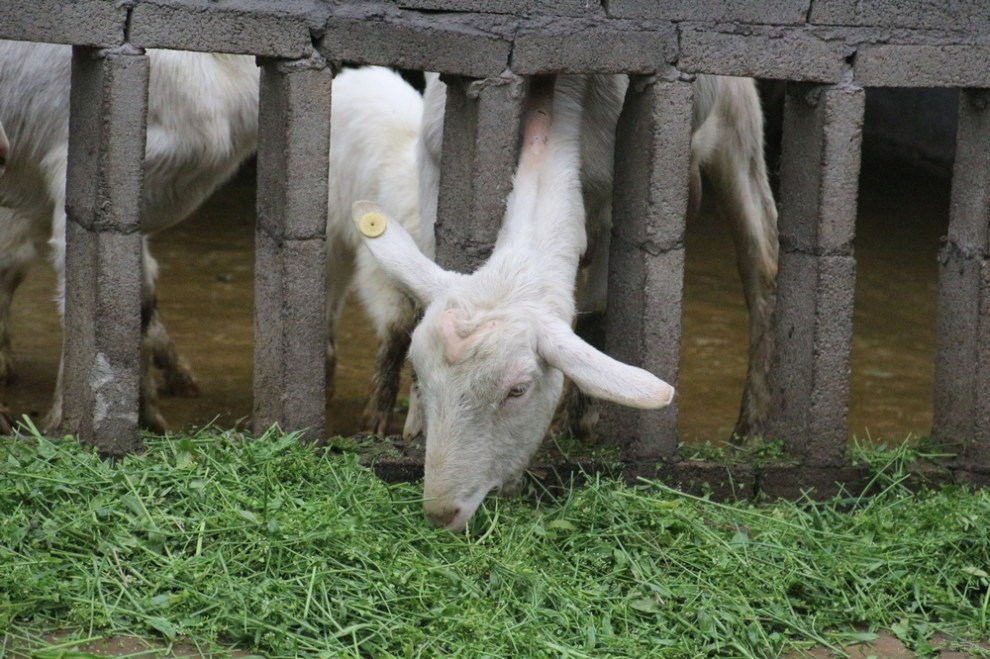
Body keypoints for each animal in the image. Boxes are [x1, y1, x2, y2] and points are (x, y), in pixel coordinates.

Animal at [356, 72, 784, 532]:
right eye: (419, 370)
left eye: (519, 390)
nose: (441, 512)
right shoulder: (433, 156)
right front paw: (414, 426)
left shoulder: (616, 199)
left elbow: (598, 310)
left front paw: (580, 425)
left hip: (737, 116)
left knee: (762, 260)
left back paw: (751, 432)